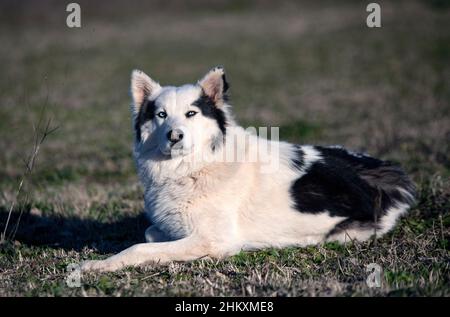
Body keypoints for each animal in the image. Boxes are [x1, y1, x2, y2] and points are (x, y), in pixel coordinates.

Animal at [81, 66, 414, 272]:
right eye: (161, 115)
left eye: (191, 114)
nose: (175, 136)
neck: (196, 167)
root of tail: (393, 176)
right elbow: (150, 234)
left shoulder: (214, 241)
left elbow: (139, 247)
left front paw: (98, 265)